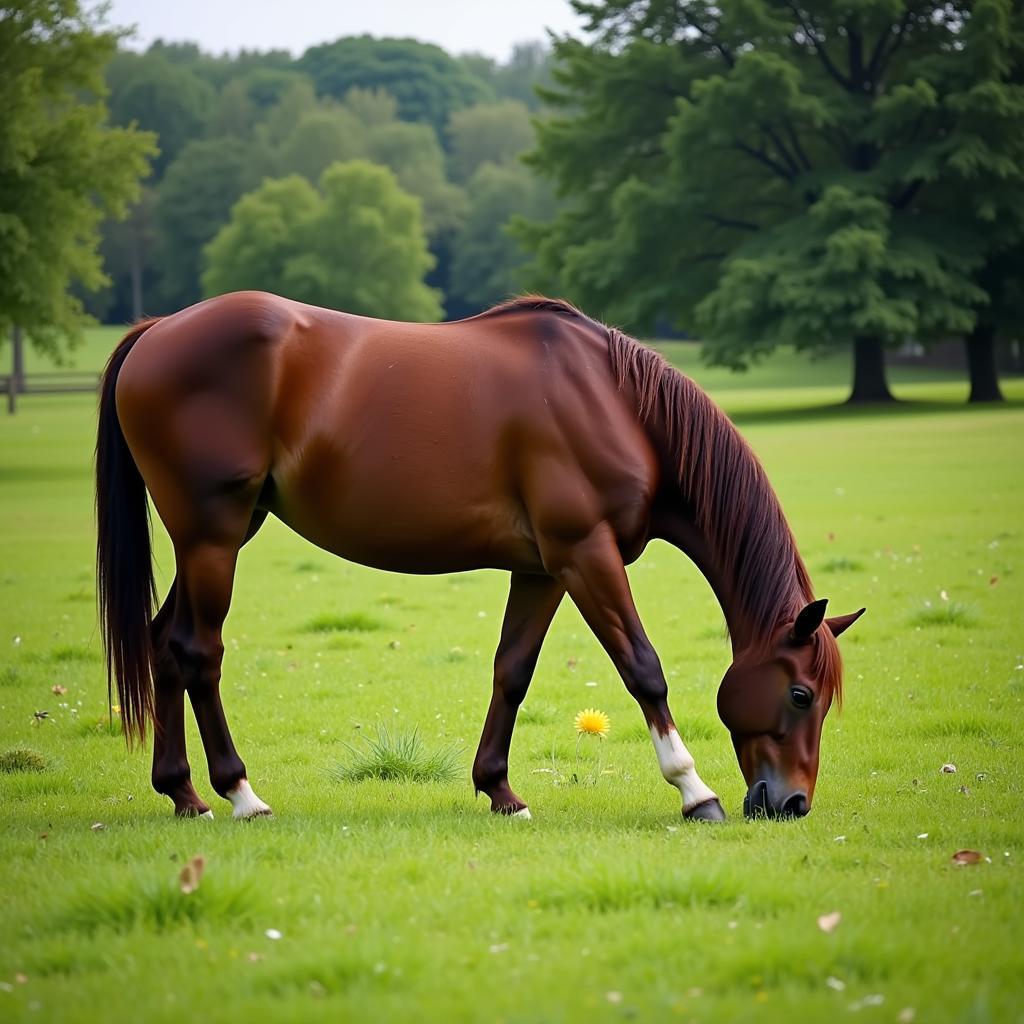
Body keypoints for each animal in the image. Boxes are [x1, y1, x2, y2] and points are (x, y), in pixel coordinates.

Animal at [97, 292, 864, 819]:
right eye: (800, 693)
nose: (792, 803)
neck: (614, 403)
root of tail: (157, 330)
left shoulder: (543, 568)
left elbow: (512, 671)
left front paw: (500, 790)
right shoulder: (587, 553)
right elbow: (643, 670)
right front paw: (694, 790)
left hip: (217, 537)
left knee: (164, 643)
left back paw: (184, 794)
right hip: (213, 536)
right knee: (198, 651)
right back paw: (241, 794)